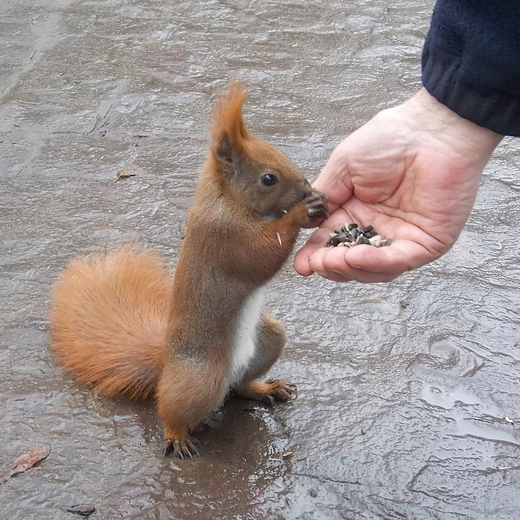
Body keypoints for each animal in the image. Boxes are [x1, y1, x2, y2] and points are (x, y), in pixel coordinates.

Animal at [47, 79, 324, 458]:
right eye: (269, 178)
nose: (307, 187)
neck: (225, 199)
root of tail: (166, 361)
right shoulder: (225, 237)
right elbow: (260, 256)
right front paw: (302, 212)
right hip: (202, 378)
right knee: (174, 407)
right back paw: (177, 437)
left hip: (269, 339)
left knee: (239, 385)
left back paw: (264, 388)